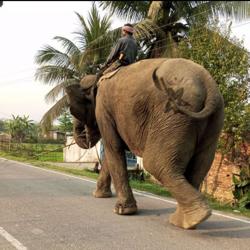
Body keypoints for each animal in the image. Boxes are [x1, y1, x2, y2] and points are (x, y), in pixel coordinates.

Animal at [65, 57, 224, 229]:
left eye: (76, 112)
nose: (84, 135)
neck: (97, 79)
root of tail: (209, 85)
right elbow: (111, 152)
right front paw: (100, 196)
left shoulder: (103, 109)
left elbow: (113, 147)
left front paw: (122, 211)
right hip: (212, 122)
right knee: (199, 167)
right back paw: (185, 220)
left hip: (173, 116)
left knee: (155, 164)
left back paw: (196, 216)